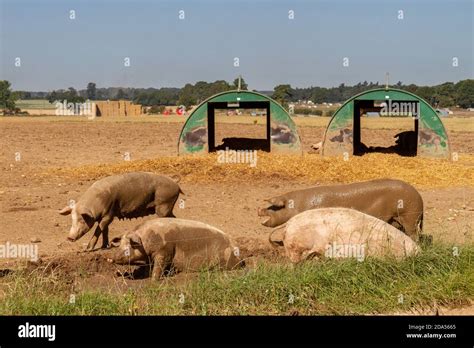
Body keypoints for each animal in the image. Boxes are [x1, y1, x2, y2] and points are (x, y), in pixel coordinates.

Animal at [109, 218, 243, 280]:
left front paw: (153, 280)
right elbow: (149, 265)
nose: (111, 258)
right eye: (119, 244)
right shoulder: (149, 257)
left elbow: (159, 265)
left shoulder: (165, 250)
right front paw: (147, 274)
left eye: (129, 245)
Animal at [258, 178, 424, 241]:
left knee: (413, 233)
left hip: (410, 215)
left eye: (275, 207)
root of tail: (420, 197)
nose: (258, 209)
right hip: (395, 219)